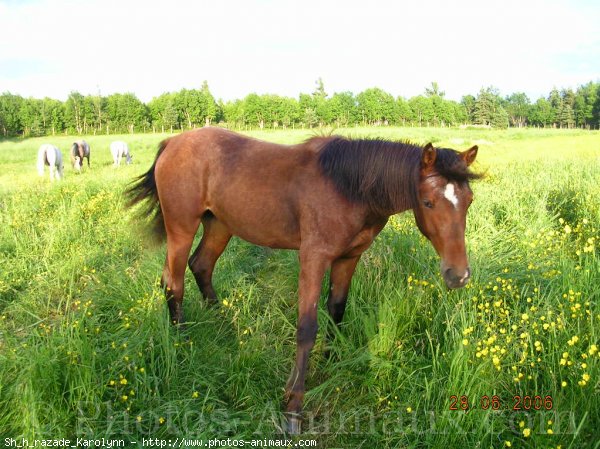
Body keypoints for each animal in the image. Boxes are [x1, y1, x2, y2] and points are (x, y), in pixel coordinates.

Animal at [125, 127, 478, 434]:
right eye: (428, 202)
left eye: (469, 200)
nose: (458, 275)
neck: (347, 187)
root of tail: (171, 142)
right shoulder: (313, 257)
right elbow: (307, 327)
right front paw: (293, 407)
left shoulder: (348, 258)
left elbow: (337, 309)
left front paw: (332, 363)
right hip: (182, 227)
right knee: (173, 281)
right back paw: (181, 340)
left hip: (219, 224)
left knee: (201, 266)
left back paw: (223, 325)